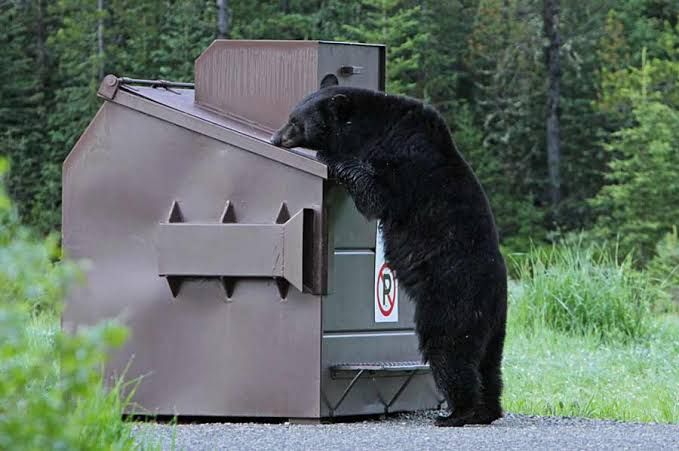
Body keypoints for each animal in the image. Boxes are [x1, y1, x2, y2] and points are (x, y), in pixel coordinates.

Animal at [271, 85, 508, 427]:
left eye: (294, 120)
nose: (275, 138)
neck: (375, 129)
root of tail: (495, 293)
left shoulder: (405, 161)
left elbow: (377, 196)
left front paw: (333, 158)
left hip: (452, 297)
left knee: (449, 348)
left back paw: (458, 412)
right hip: (493, 323)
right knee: (489, 363)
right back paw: (488, 410)